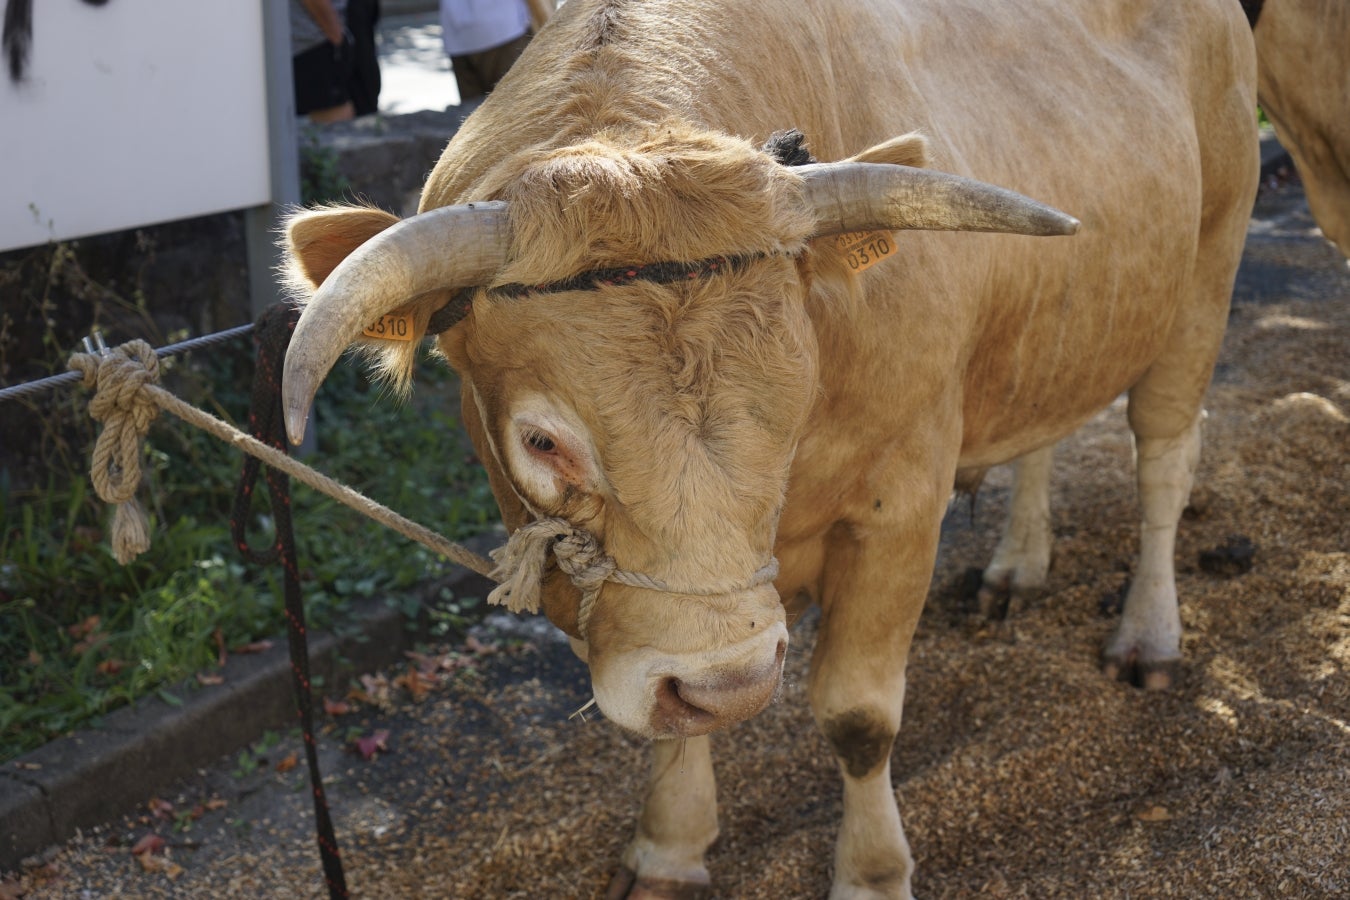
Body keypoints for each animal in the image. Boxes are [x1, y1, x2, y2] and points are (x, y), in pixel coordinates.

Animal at [274, 0, 1252, 895]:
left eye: (797, 399)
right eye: (543, 441)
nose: (730, 682)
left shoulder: (902, 510)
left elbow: (858, 716)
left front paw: (871, 874)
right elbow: (670, 721)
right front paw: (668, 850)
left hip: (1209, 269)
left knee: (1165, 460)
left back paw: (1147, 635)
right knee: (1042, 431)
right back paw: (1019, 565)